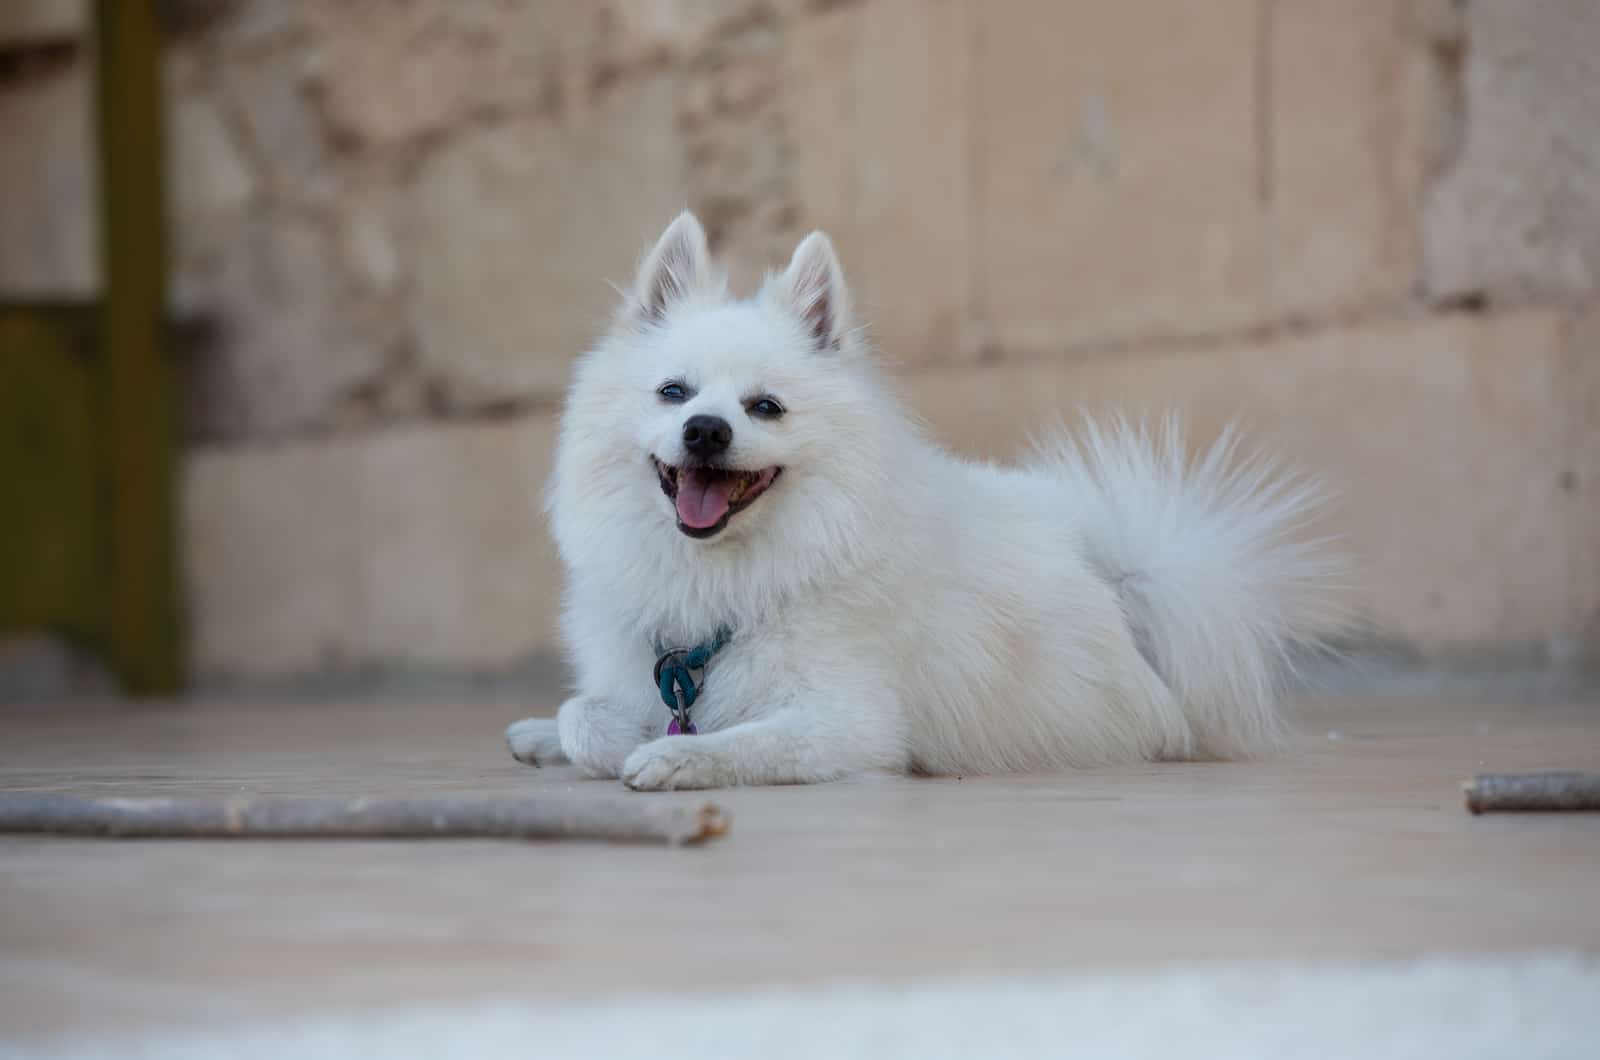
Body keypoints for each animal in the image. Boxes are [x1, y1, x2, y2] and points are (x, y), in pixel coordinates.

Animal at [508, 214, 1337, 787]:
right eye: (673, 393)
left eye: (765, 407)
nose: (706, 430)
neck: (726, 575)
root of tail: (1118, 584)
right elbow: (584, 712)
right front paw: (589, 734)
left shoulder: (849, 721)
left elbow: (742, 739)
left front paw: (674, 757)